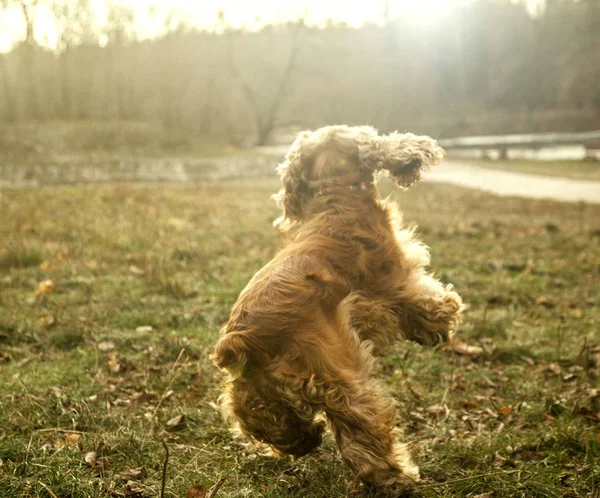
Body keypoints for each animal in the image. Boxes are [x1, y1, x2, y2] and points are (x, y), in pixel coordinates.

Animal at [212, 125, 464, 494]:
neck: (337, 196)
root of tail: (241, 339)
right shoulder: (397, 282)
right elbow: (427, 303)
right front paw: (442, 322)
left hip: (253, 394)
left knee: (269, 423)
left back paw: (305, 438)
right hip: (341, 376)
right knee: (365, 432)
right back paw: (394, 477)